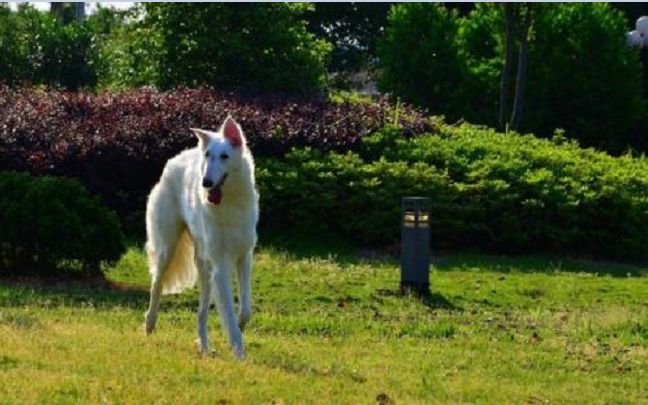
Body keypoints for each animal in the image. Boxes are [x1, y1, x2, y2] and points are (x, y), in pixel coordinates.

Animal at [144, 115, 258, 358]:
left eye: (224, 156)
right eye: (208, 156)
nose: (206, 183)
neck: (228, 204)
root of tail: (176, 159)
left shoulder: (244, 257)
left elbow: (245, 310)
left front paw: (238, 331)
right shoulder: (221, 264)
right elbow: (230, 313)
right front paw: (239, 352)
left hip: (204, 267)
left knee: (201, 313)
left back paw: (204, 346)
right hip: (168, 250)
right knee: (156, 285)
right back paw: (149, 324)